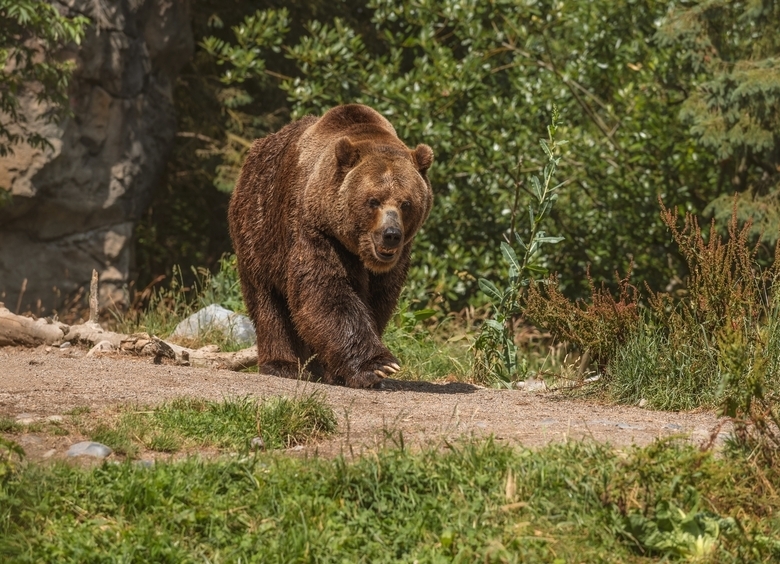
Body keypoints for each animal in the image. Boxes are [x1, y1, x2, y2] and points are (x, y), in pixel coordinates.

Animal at [228, 104, 434, 388]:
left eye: (406, 203)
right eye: (373, 201)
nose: (391, 234)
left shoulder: (394, 261)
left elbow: (379, 300)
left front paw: (341, 371)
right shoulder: (316, 230)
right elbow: (326, 291)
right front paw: (378, 366)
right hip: (258, 228)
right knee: (267, 301)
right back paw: (282, 364)